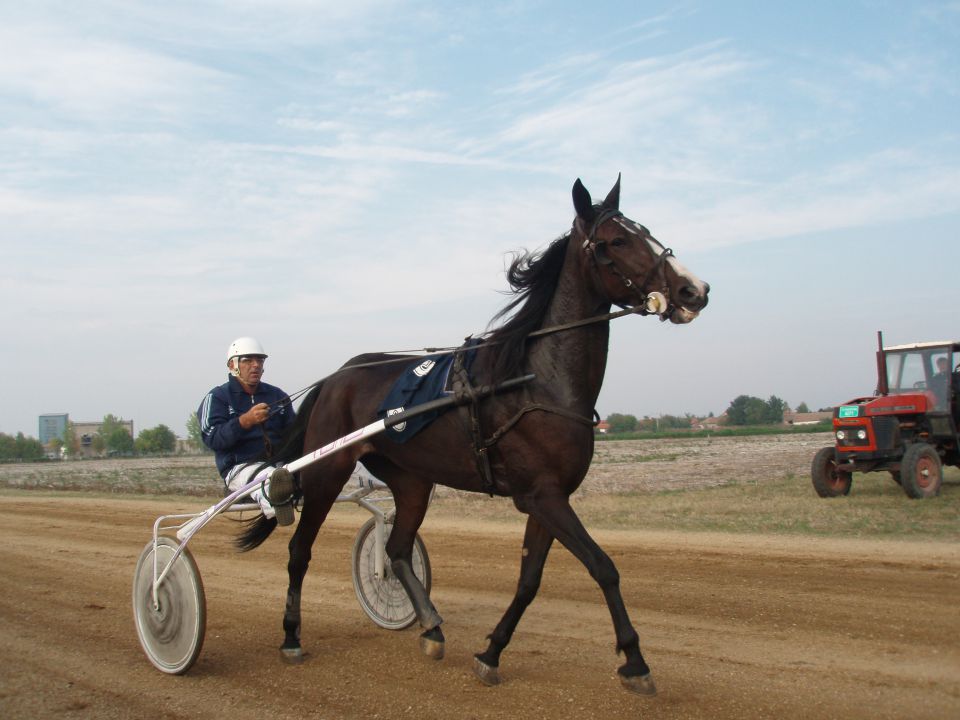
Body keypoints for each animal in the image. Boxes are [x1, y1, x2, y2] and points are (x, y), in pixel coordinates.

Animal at [237, 177, 708, 696]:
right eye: (616, 241)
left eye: (645, 230)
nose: (695, 289)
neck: (535, 378)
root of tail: (336, 377)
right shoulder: (543, 496)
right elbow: (603, 567)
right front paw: (636, 661)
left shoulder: (547, 496)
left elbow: (529, 580)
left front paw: (491, 652)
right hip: (328, 471)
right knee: (299, 551)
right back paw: (291, 636)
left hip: (412, 479)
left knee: (397, 551)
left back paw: (431, 627)